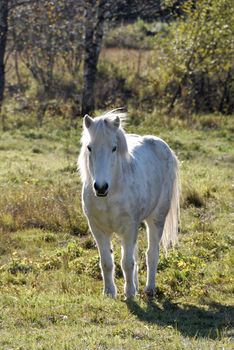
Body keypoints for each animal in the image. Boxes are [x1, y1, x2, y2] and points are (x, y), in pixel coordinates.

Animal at [78, 109, 179, 298]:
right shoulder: (98, 229)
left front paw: (130, 293)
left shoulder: (129, 228)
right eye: (89, 148)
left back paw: (149, 289)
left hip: (157, 218)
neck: (110, 195)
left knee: (151, 254)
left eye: (114, 148)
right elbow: (107, 262)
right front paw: (109, 292)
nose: (100, 187)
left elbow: (126, 262)